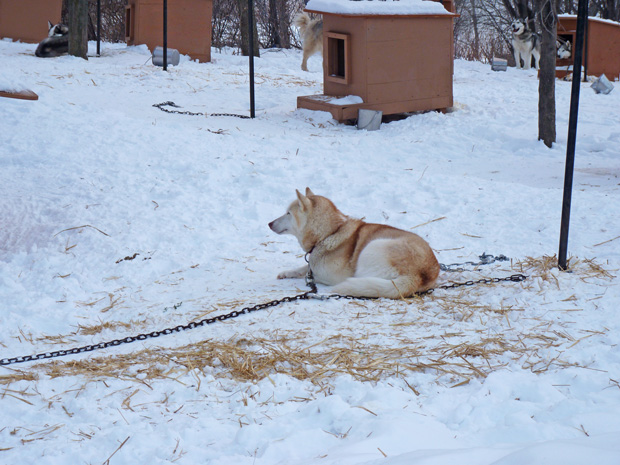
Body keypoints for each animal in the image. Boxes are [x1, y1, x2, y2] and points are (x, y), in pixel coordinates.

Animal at [268, 188, 440, 298]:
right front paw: (287, 273)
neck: (330, 233)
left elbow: (312, 273)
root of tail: (419, 275)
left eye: (288, 213)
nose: (269, 223)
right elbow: (304, 268)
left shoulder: (330, 274)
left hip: (372, 247)